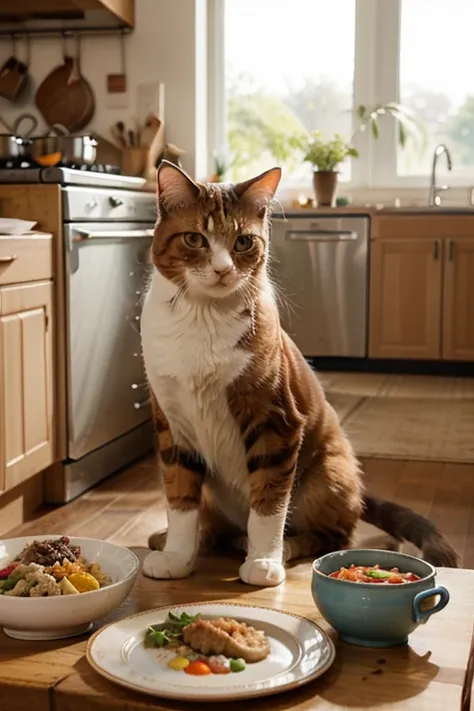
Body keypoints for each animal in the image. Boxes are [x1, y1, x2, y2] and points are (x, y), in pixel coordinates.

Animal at [141, 161, 460, 588]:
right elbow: (180, 497)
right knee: (214, 525)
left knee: (335, 534)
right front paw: (177, 555)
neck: (202, 317)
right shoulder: (172, 423)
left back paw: (283, 548)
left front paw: (263, 561)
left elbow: (269, 502)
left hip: (326, 474)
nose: (223, 269)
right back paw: (182, 540)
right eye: (194, 239)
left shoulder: (276, 420)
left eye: (243, 242)